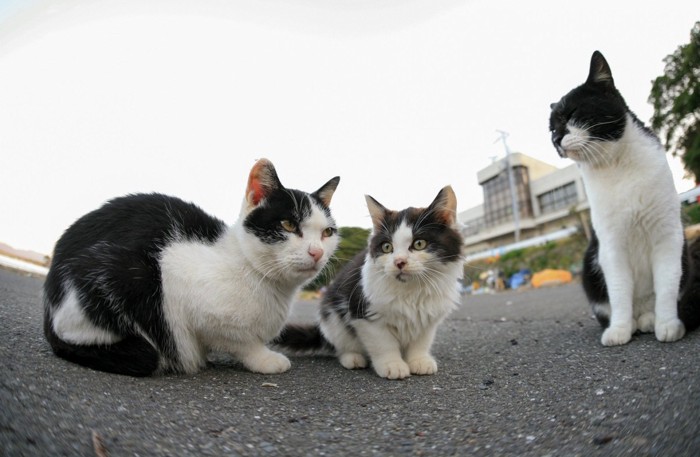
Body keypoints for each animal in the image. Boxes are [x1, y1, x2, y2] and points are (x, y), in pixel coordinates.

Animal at [42, 159, 340, 376]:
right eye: (288, 225)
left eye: (327, 232)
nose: (316, 252)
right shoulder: (181, 283)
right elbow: (240, 342)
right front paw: (264, 359)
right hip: (124, 274)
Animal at [274, 185, 464, 378]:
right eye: (387, 247)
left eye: (419, 244)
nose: (399, 262)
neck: (410, 290)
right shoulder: (364, 314)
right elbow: (384, 343)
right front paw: (393, 365)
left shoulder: (428, 317)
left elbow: (421, 342)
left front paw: (419, 360)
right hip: (332, 317)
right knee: (341, 346)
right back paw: (353, 358)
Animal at [548, 50, 696, 344]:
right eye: (551, 129)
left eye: (571, 114)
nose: (557, 139)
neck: (616, 164)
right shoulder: (610, 244)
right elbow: (618, 291)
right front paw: (618, 330)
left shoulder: (668, 237)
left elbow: (666, 286)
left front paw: (668, 325)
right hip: (590, 264)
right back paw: (632, 323)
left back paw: (649, 320)